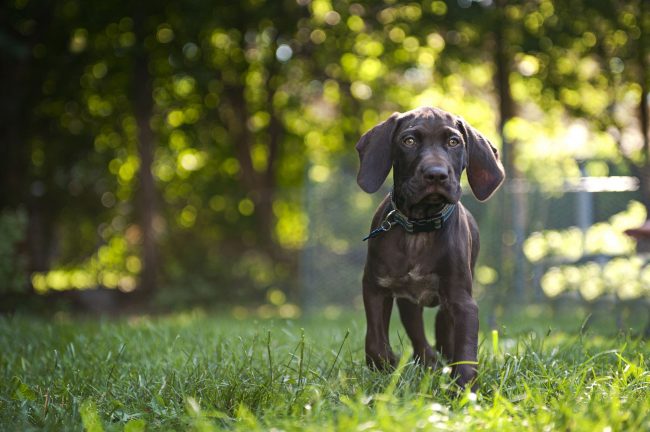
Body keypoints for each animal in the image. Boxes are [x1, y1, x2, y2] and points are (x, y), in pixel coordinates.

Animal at [354, 107, 502, 388]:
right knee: (418, 336)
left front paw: (465, 390)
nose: (436, 174)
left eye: (454, 142)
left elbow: (465, 350)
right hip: (408, 303)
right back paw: (429, 362)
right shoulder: (375, 286)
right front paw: (386, 365)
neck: (419, 228)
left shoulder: (461, 300)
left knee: (444, 334)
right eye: (409, 141)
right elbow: (375, 342)